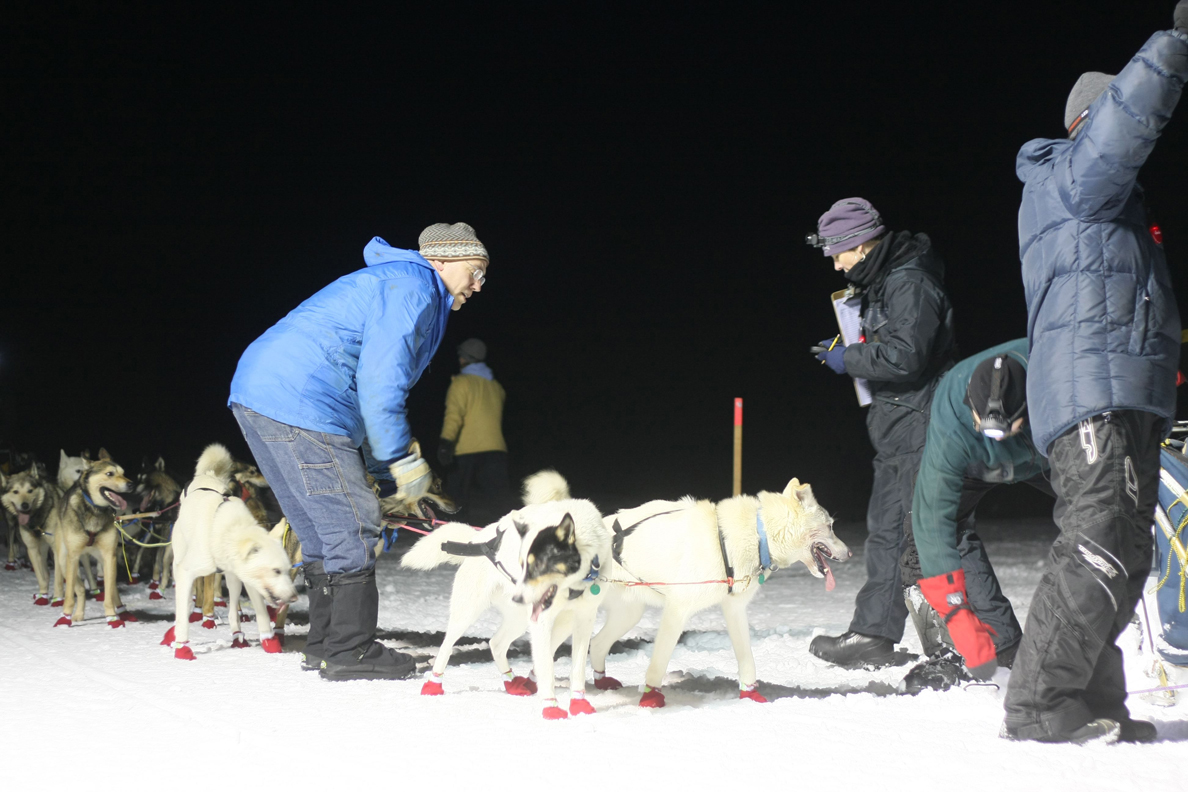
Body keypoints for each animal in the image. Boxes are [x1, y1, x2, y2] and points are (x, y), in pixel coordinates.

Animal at [160, 444, 297, 660]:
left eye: (286, 569)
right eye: (276, 571)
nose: (293, 597)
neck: (228, 530)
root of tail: (206, 476)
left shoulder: (249, 579)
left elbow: (262, 612)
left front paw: (269, 641)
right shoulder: (187, 571)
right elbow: (183, 615)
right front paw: (182, 648)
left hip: (233, 579)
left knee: (233, 610)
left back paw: (237, 636)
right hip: (180, 562)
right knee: (186, 602)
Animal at [406, 474, 617, 721]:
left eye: (540, 565)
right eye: (522, 564)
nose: (519, 597)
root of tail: (477, 539)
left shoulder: (584, 619)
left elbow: (577, 668)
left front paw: (579, 703)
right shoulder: (542, 621)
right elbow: (546, 668)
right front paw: (551, 707)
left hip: (532, 621)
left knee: (496, 643)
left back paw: (512, 682)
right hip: (467, 613)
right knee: (447, 646)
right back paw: (433, 684)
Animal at [589, 477, 850, 707]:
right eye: (830, 526)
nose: (850, 553)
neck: (759, 535)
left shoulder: (734, 609)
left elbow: (747, 660)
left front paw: (751, 694)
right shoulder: (677, 611)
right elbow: (658, 663)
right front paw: (650, 697)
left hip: (628, 615)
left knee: (596, 643)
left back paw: (601, 680)